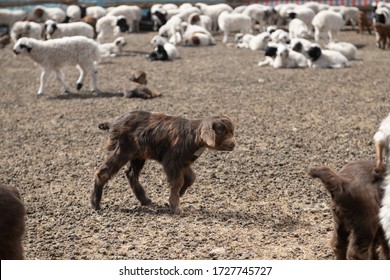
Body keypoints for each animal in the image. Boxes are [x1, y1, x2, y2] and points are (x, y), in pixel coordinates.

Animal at [91, 110, 236, 213]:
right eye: (222, 132)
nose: (233, 144)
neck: (194, 137)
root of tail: (112, 123)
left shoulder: (183, 162)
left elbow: (191, 178)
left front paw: (181, 193)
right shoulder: (172, 161)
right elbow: (178, 182)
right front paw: (175, 206)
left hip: (138, 155)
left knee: (131, 174)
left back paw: (145, 200)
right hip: (121, 151)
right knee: (103, 173)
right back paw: (95, 204)